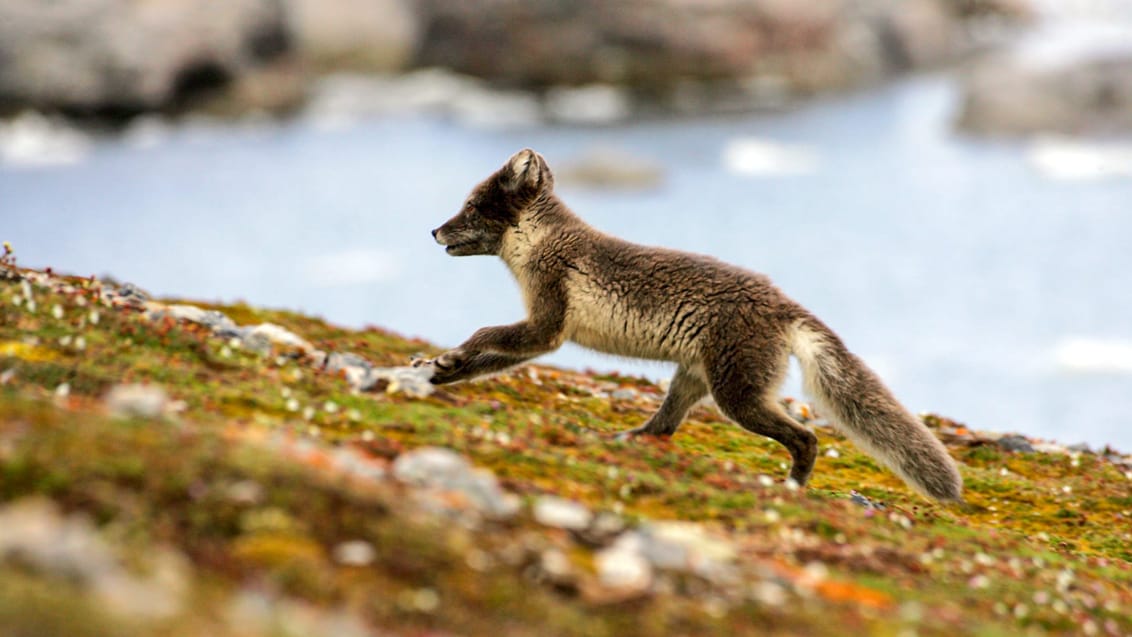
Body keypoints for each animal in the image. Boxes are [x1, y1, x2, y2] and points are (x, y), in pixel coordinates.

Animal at [425, 149, 964, 504]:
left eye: (471, 207)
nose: (432, 230)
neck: (542, 243)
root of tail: (782, 302)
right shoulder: (540, 333)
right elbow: (487, 359)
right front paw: (441, 370)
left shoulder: (547, 326)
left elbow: (484, 336)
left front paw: (450, 357)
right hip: (694, 380)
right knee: (664, 427)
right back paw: (626, 440)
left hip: (737, 396)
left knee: (806, 438)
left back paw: (792, 486)